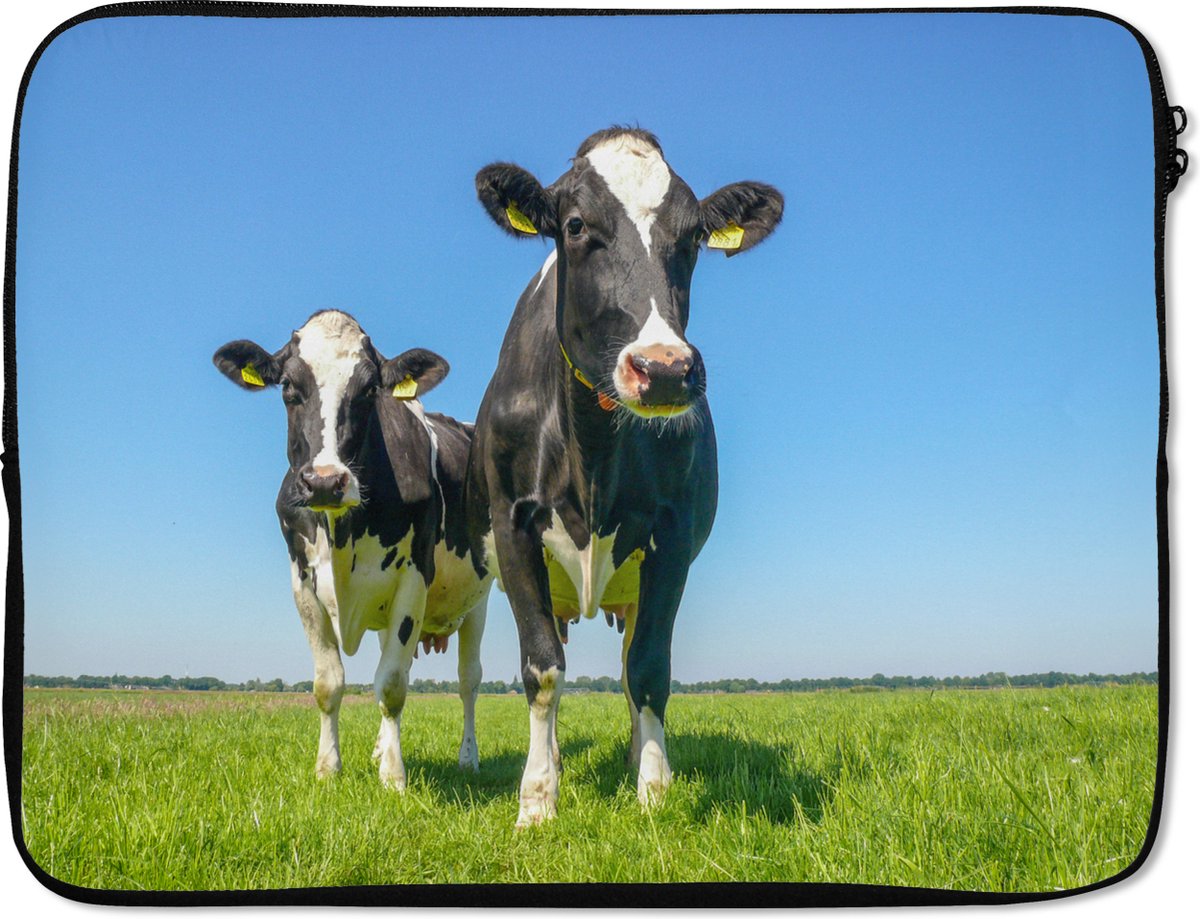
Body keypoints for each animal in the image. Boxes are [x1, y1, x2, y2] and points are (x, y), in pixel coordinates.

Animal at [213, 310, 492, 790]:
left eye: (368, 390)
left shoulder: (413, 579)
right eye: (288, 387)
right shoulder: (302, 583)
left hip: (479, 599)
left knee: (467, 680)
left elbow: (393, 684)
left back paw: (467, 758)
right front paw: (328, 768)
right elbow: (329, 683)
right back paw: (382, 746)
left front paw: (393, 777)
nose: (325, 481)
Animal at [467, 127, 783, 826]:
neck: (592, 450)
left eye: (693, 237)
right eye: (576, 225)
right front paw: (537, 800)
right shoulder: (514, 526)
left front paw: (654, 791)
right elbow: (542, 669)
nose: (663, 369)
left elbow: (648, 669)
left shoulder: (672, 537)